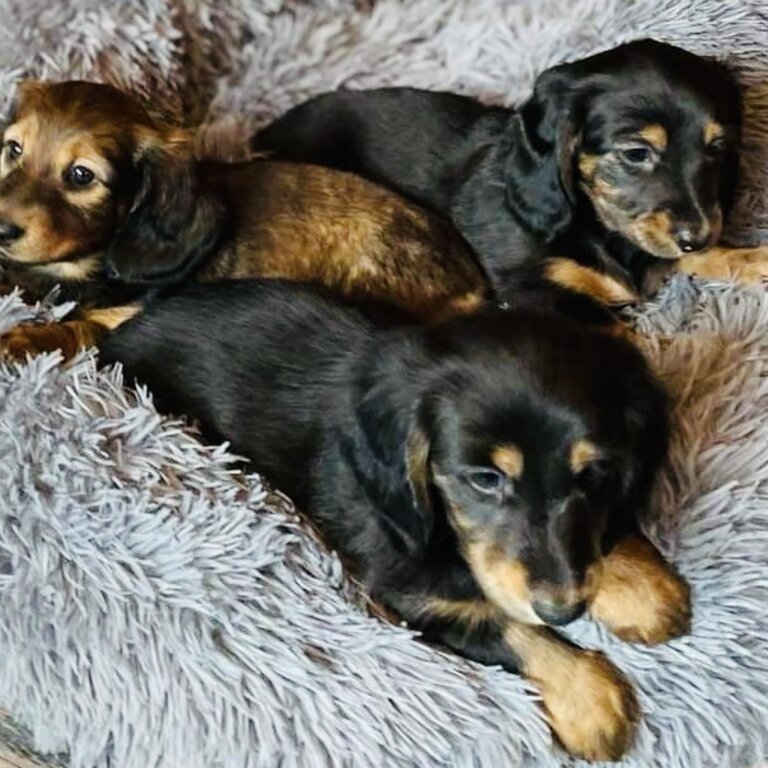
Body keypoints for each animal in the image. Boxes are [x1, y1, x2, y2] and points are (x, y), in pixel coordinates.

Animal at [0, 79, 486, 362]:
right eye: (13, 148)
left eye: (81, 175)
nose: (2, 229)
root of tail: (475, 281)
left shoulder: (121, 320)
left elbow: (74, 329)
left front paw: (21, 341)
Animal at [99, 278, 688, 760]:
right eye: (485, 479)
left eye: (593, 473)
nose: (563, 609)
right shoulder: (413, 592)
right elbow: (509, 628)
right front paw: (592, 699)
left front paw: (639, 586)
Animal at [252, 39, 768, 304]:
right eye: (637, 152)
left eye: (717, 147)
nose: (697, 235)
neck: (597, 228)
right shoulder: (534, 291)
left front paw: (750, 258)